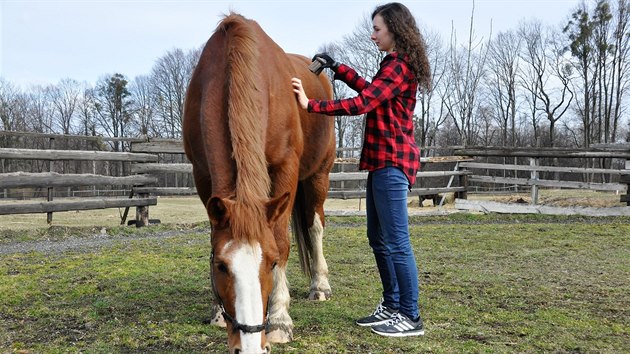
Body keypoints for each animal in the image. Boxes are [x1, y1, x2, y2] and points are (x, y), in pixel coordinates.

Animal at [184, 12, 336, 352]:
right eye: (221, 266)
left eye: (272, 263)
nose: (250, 344)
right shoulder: (202, 175)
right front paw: (217, 311)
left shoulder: (285, 169)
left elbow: (281, 238)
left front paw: (279, 319)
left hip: (318, 176)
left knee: (315, 226)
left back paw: (319, 285)